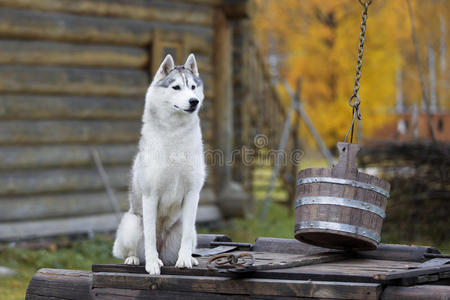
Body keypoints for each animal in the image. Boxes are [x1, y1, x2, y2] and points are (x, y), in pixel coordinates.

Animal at [112, 53, 206, 274]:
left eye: (192, 87)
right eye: (176, 87)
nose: (194, 101)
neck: (175, 135)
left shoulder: (193, 193)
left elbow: (186, 237)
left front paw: (185, 260)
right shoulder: (150, 196)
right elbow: (150, 237)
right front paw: (153, 264)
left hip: (188, 228)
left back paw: (188, 258)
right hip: (131, 223)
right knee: (135, 249)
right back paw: (135, 259)